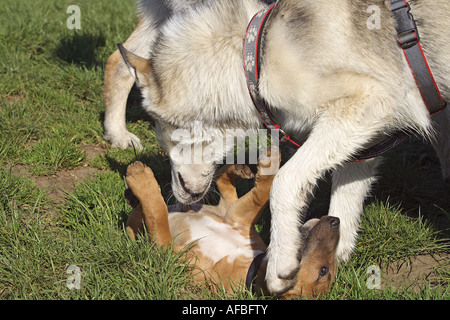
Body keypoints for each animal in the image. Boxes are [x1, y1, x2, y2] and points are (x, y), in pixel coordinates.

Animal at [125, 149, 340, 298]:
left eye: (323, 271)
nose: (336, 220)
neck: (251, 264)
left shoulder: (169, 254)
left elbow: (157, 214)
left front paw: (141, 179)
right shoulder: (240, 219)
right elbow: (263, 193)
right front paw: (271, 161)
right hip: (231, 211)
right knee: (225, 184)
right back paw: (240, 168)